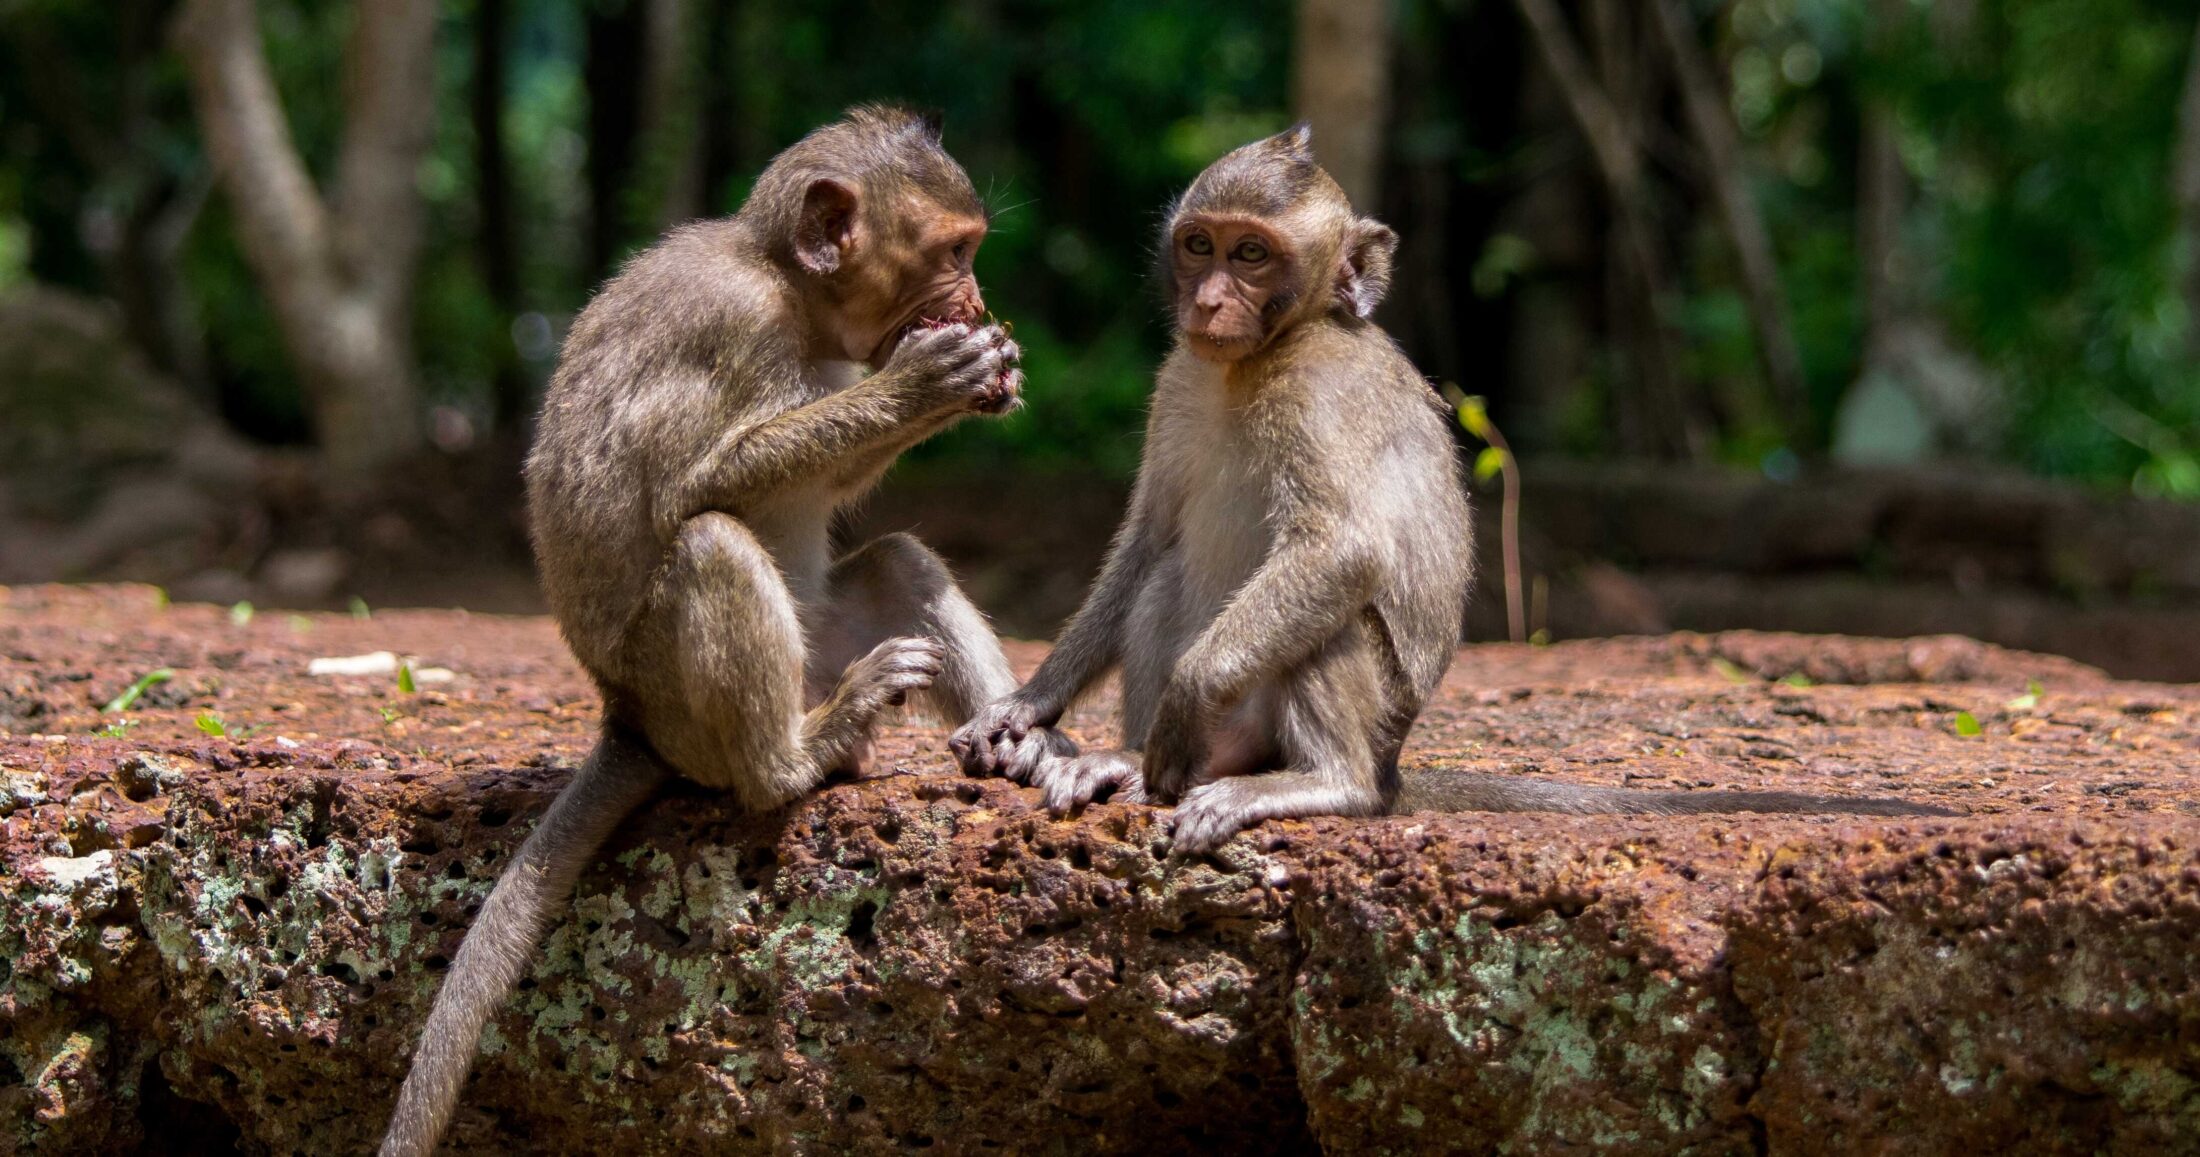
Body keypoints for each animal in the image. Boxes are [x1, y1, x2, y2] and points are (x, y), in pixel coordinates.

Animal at [376, 104, 1064, 1152]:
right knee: (711, 544)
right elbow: (699, 485)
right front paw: (921, 387)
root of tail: (626, 717)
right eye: (954, 252)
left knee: (894, 562)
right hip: (684, 706)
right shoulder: (733, 323)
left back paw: (1016, 744)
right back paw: (795, 757)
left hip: (817, 642)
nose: (978, 296)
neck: (788, 290)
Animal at [946, 127, 1944, 857]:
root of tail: (1393, 765)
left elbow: (1342, 549)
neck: (1257, 360)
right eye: (1200, 245)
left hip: (1355, 718)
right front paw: (1025, 707)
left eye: (1253, 255)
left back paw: (1323, 782)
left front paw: (1185, 698)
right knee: (1167, 579)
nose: (1211, 300)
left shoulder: (1318, 393)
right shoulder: (1179, 381)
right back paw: (1120, 760)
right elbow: (1148, 540)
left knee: (1335, 618)